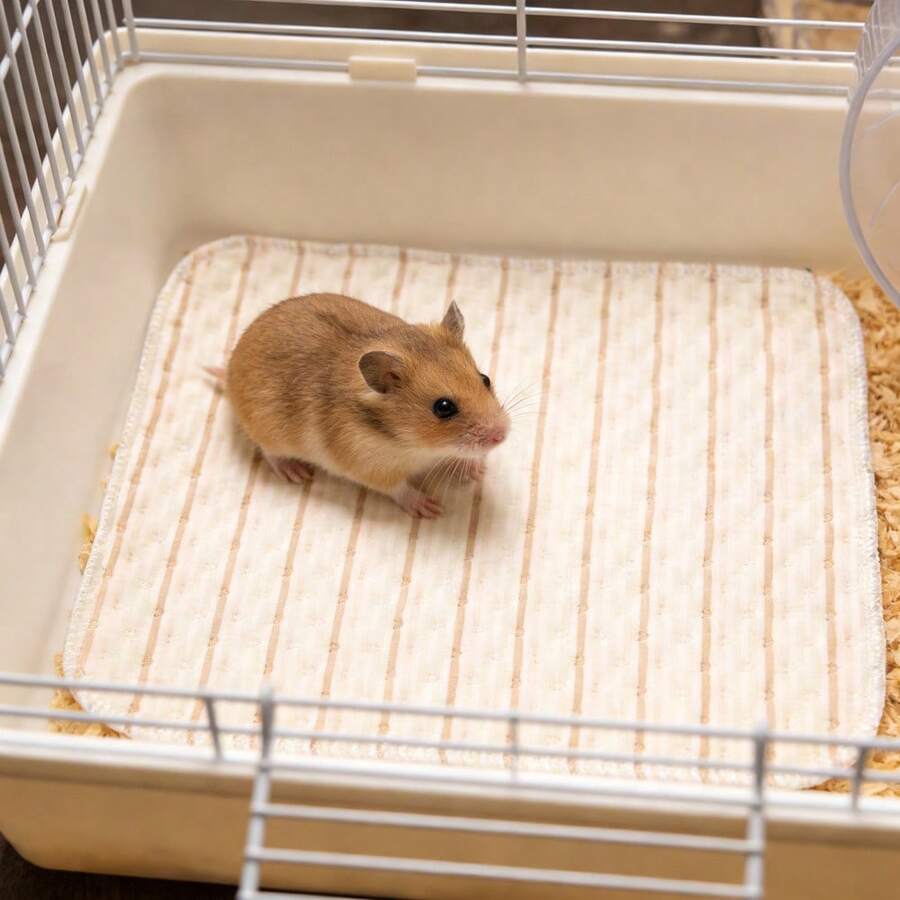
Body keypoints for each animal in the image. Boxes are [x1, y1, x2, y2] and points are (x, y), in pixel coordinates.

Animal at [221, 293, 510, 518]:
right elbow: (398, 488)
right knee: (269, 452)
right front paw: (430, 509)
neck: (409, 442)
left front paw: (477, 471)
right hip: (268, 431)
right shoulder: (370, 466)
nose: (502, 435)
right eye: (443, 407)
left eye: (485, 379)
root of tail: (229, 371)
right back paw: (295, 472)